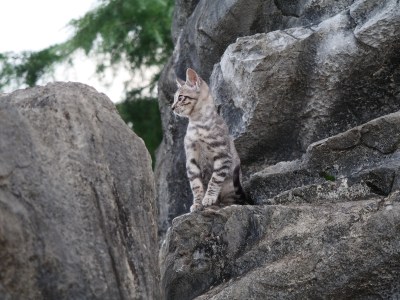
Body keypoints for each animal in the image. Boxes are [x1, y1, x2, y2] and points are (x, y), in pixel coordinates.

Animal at [171, 69, 247, 212]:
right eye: (174, 99)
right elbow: (196, 185)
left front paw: (209, 198)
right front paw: (197, 203)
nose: (172, 108)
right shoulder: (191, 159)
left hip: (231, 184)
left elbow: (214, 180)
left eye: (180, 98)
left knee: (231, 200)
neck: (197, 122)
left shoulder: (222, 155)